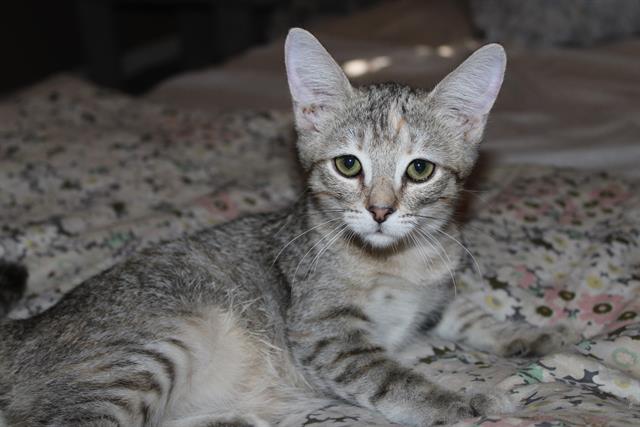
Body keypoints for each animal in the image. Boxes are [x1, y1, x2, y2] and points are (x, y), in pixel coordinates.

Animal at [0, 28, 568, 426]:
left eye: (420, 170)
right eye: (348, 165)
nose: (381, 211)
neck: (400, 261)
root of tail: (29, 328)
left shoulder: (433, 292)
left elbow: (465, 311)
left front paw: (529, 333)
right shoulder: (326, 334)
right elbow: (395, 378)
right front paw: (467, 399)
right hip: (148, 350)